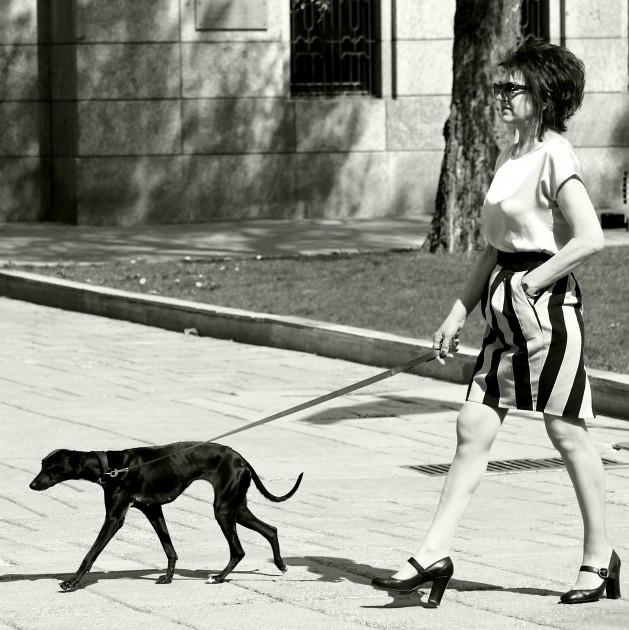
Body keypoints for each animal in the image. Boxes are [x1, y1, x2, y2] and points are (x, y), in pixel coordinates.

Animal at [29, 442, 303, 590]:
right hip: (238, 509)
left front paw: (72, 582)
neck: (111, 467)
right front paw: (169, 576)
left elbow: (90, 554)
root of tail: (240, 458)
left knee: (238, 550)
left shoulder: (114, 519)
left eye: (52, 466)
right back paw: (280, 565)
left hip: (224, 510)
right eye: (42, 463)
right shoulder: (153, 510)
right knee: (271, 530)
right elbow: (169, 548)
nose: (32, 485)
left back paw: (218, 578)